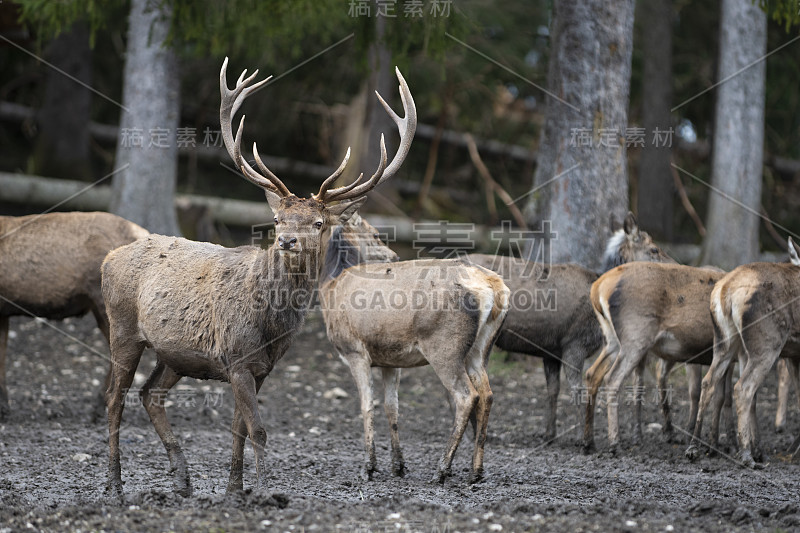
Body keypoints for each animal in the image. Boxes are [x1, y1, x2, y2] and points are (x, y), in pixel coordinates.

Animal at [102, 59, 416, 498]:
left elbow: (239, 428)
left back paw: (182, 478)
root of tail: (109, 258)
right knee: (116, 399)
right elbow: (259, 429)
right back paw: (114, 482)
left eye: (318, 222)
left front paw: (235, 489)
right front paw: (267, 489)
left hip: (174, 353)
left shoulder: (260, 366)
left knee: (152, 394)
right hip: (124, 329)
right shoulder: (237, 357)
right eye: (278, 219)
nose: (286, 240)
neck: (271, 322)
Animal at [318, 215, 506, 482]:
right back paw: (476, 471)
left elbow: (367, 405)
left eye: (376, 233)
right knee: (487, 394)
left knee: (467, 395)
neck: (330, 287)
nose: (393, 256)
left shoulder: (354, 351)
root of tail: (494, 286)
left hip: (444, 347)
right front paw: (398, 466)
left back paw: (442, 469)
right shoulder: (390, 358)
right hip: (480, 349)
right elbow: (392, 407)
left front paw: (369, 467)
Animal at [684, 237, 800, 466]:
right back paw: (746, 454)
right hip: (767, 343)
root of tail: (725, 290)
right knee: (743, 388)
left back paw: (695, 447)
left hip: (726, 342)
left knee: (709, 382)